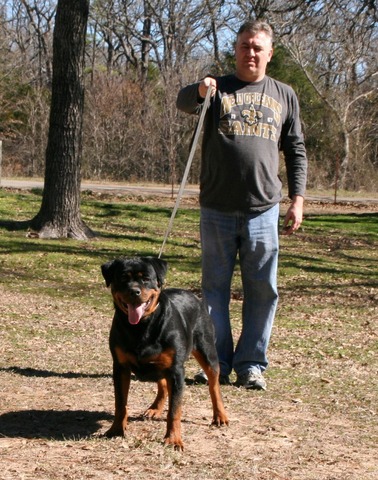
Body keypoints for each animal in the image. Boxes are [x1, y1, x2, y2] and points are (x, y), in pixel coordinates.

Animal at [100, 256, 229, 448]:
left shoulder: (176, 370)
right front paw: (116, 430)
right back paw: (155, 408)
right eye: (123, 278)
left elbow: (174, 410)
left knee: (214, 385)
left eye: (146, 278)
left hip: (207, 351)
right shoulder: (120, 367)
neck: (141, 327)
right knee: (162, 383)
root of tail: (194, 296)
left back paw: (220, 416)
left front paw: (173, 439)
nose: (134, 291)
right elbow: (121, 403)